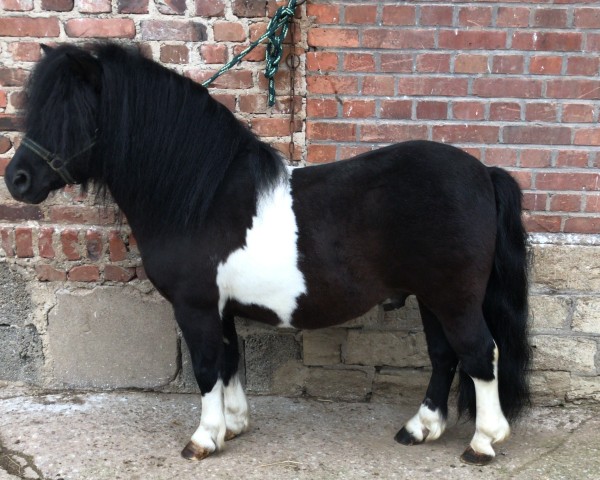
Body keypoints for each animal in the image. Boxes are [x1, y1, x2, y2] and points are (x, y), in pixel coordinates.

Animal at [4, 44, 528, 464]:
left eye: (67, 113)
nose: (18, 180)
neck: (201, 197)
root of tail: (483, 174)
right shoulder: (220, 307)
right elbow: (229, 360)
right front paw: (233, 425)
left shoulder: (195, 306)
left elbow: (207, 366)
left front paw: (204, 438)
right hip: (431, 297)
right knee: (444, 356)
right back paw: (421, 428)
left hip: (454, 298)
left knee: (479, 353)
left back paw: (483, 442)